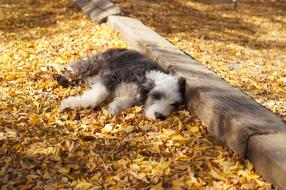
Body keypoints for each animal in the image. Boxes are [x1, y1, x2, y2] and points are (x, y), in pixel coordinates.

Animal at [57, 48, 187, 121]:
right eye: (156, 96)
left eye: (174, 104)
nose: (160, 117)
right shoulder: (112, 78)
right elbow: (96, 97)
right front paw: (69, 103)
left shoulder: (132, 98)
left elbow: (121, 103)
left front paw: (111, 108)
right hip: (93, 64)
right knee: (76, 67)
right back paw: (61, 75)